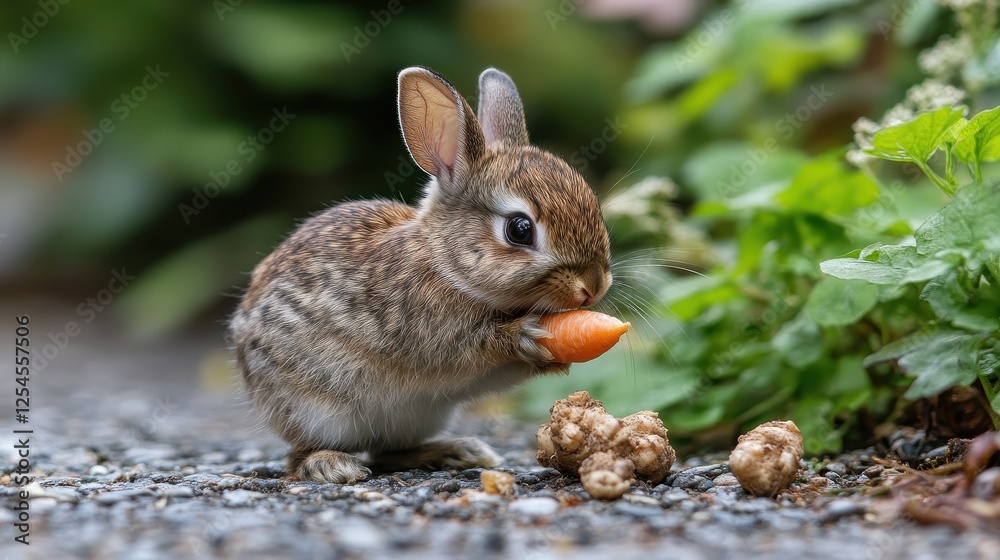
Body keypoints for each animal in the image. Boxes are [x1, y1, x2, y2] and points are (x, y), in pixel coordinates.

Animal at [228, 66, 612, 483]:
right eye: (520, 229)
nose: (593, 288)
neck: (446, 266)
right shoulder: (431, 335)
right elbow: (472, 350)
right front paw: (528, 335)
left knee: (388, 452)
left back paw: (458, 452)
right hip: (314, 409)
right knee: (303, 457)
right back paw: (332, 465)